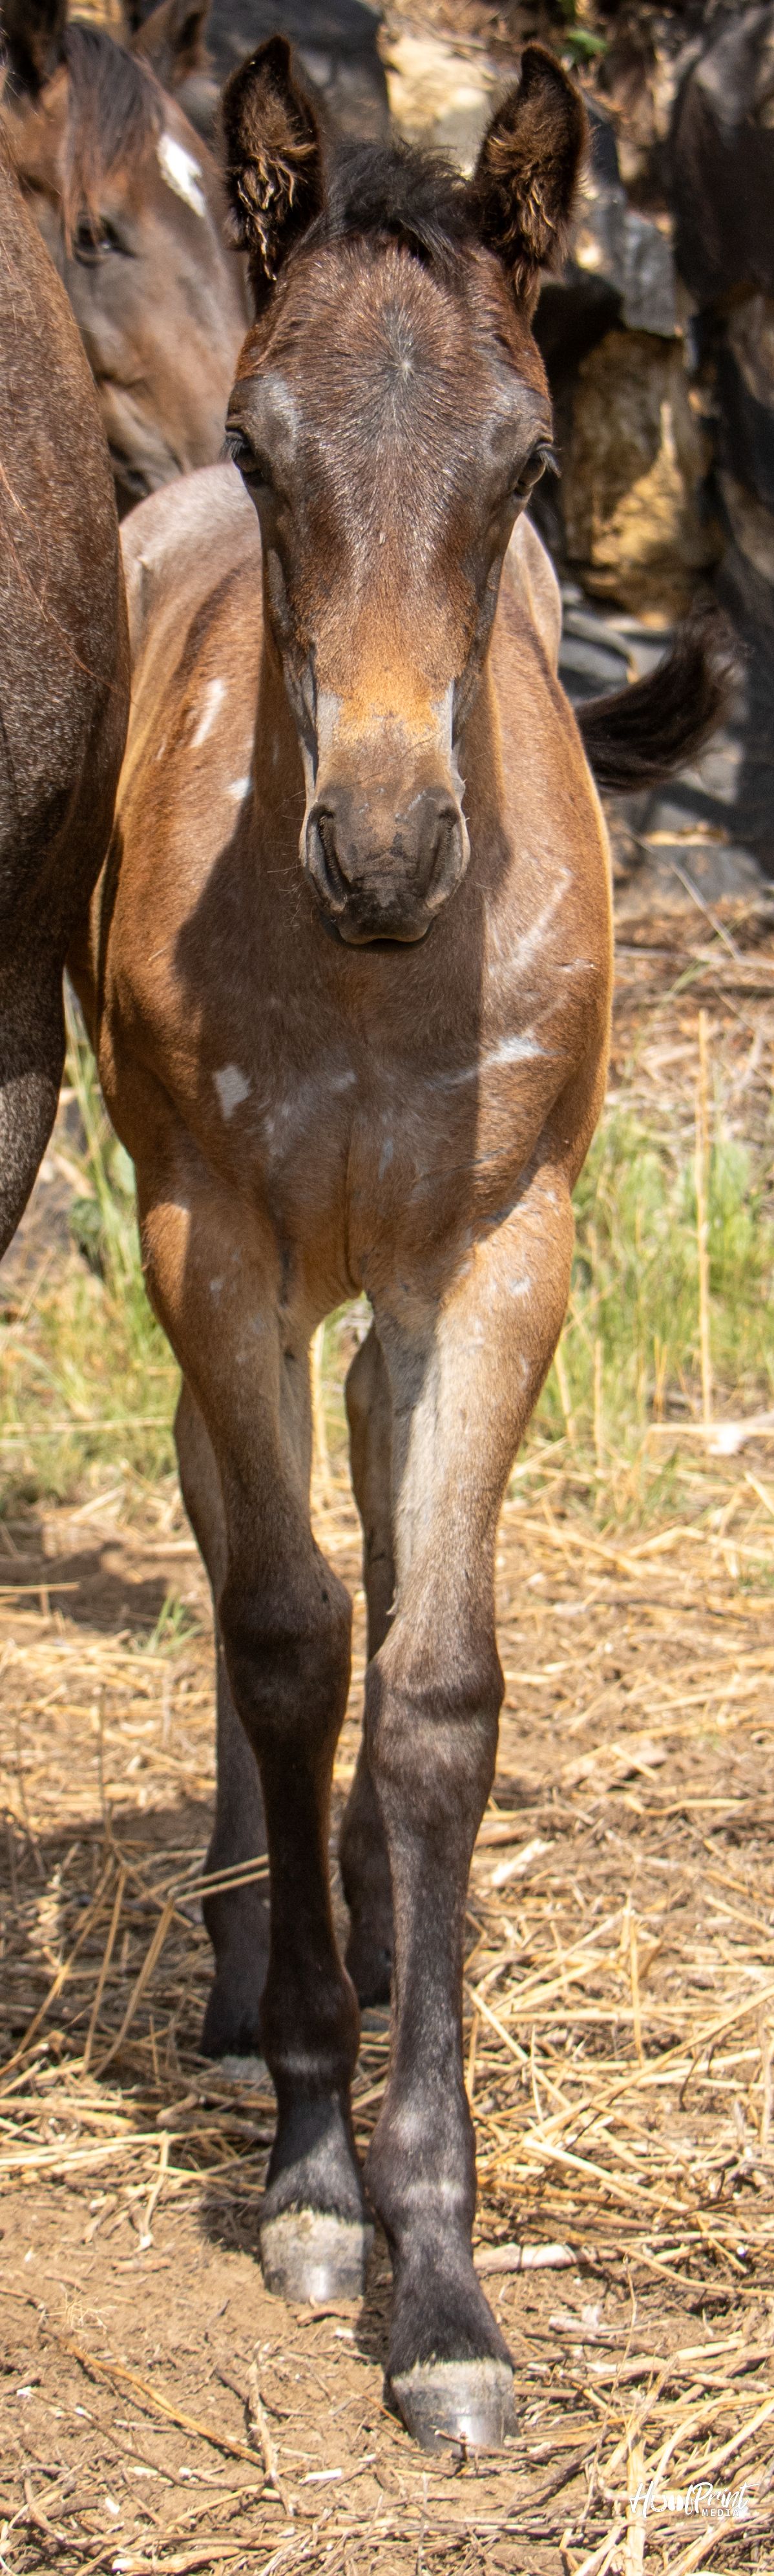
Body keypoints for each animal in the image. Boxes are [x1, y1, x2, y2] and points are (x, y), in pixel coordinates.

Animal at [73, 37, 730, 2450]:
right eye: (267, 446)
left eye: (526, 461)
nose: (383, 846)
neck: (365, 974)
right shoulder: (216, 1242)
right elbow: (281, 1633)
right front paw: (309, 2174)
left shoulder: (499, 1255)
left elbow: (436, 1687)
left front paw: (442, 2282)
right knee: (241, 1542)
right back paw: (267, 1938)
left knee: (368, 1501)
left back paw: (354, 1896)